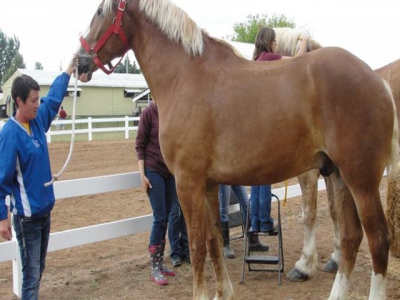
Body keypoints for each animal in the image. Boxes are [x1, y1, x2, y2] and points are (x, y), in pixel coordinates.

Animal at [76, 1, 398, 298]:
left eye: (100, 12)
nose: (79, 63)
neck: (185, 76)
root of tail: (378, 80)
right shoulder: (208, 185)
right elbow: (214, 240)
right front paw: (223, 292)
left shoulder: (187, 183)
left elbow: (197, 245)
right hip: (341, 176)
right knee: (351, 237)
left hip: (361, 181)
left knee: (378, 239)